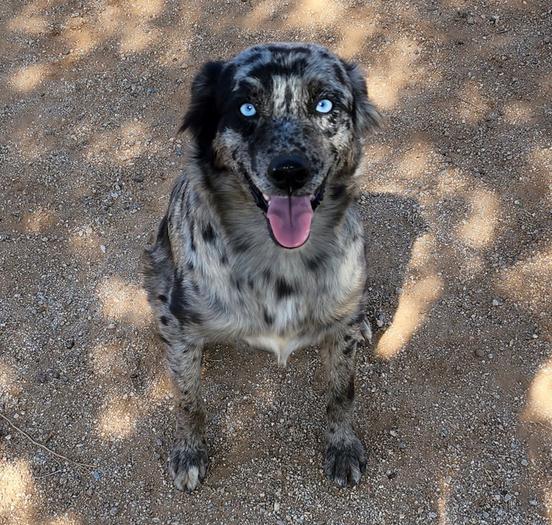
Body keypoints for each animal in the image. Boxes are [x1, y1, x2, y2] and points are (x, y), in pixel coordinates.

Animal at [143, 42, 380, 492]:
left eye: (325, 104)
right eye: (247, 108)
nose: (289, 172)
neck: (281, 260)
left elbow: (342, 392)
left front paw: (342, 446)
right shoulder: (183, 326)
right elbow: (187, 400)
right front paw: (189, 451)